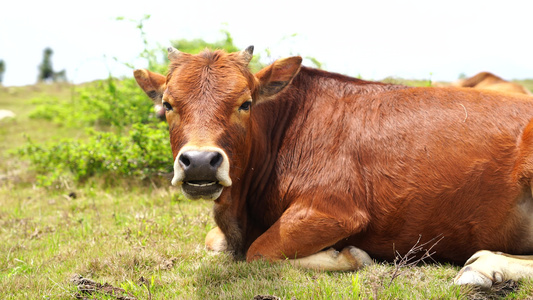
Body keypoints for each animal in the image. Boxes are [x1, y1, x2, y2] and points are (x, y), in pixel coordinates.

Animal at [134, 46, 533, 288]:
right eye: (168, 104)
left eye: (245, 103)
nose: (200, 161)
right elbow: (213, 241)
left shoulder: (336, 211)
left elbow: (260, 250)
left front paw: (349, 255)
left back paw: (483, 268)